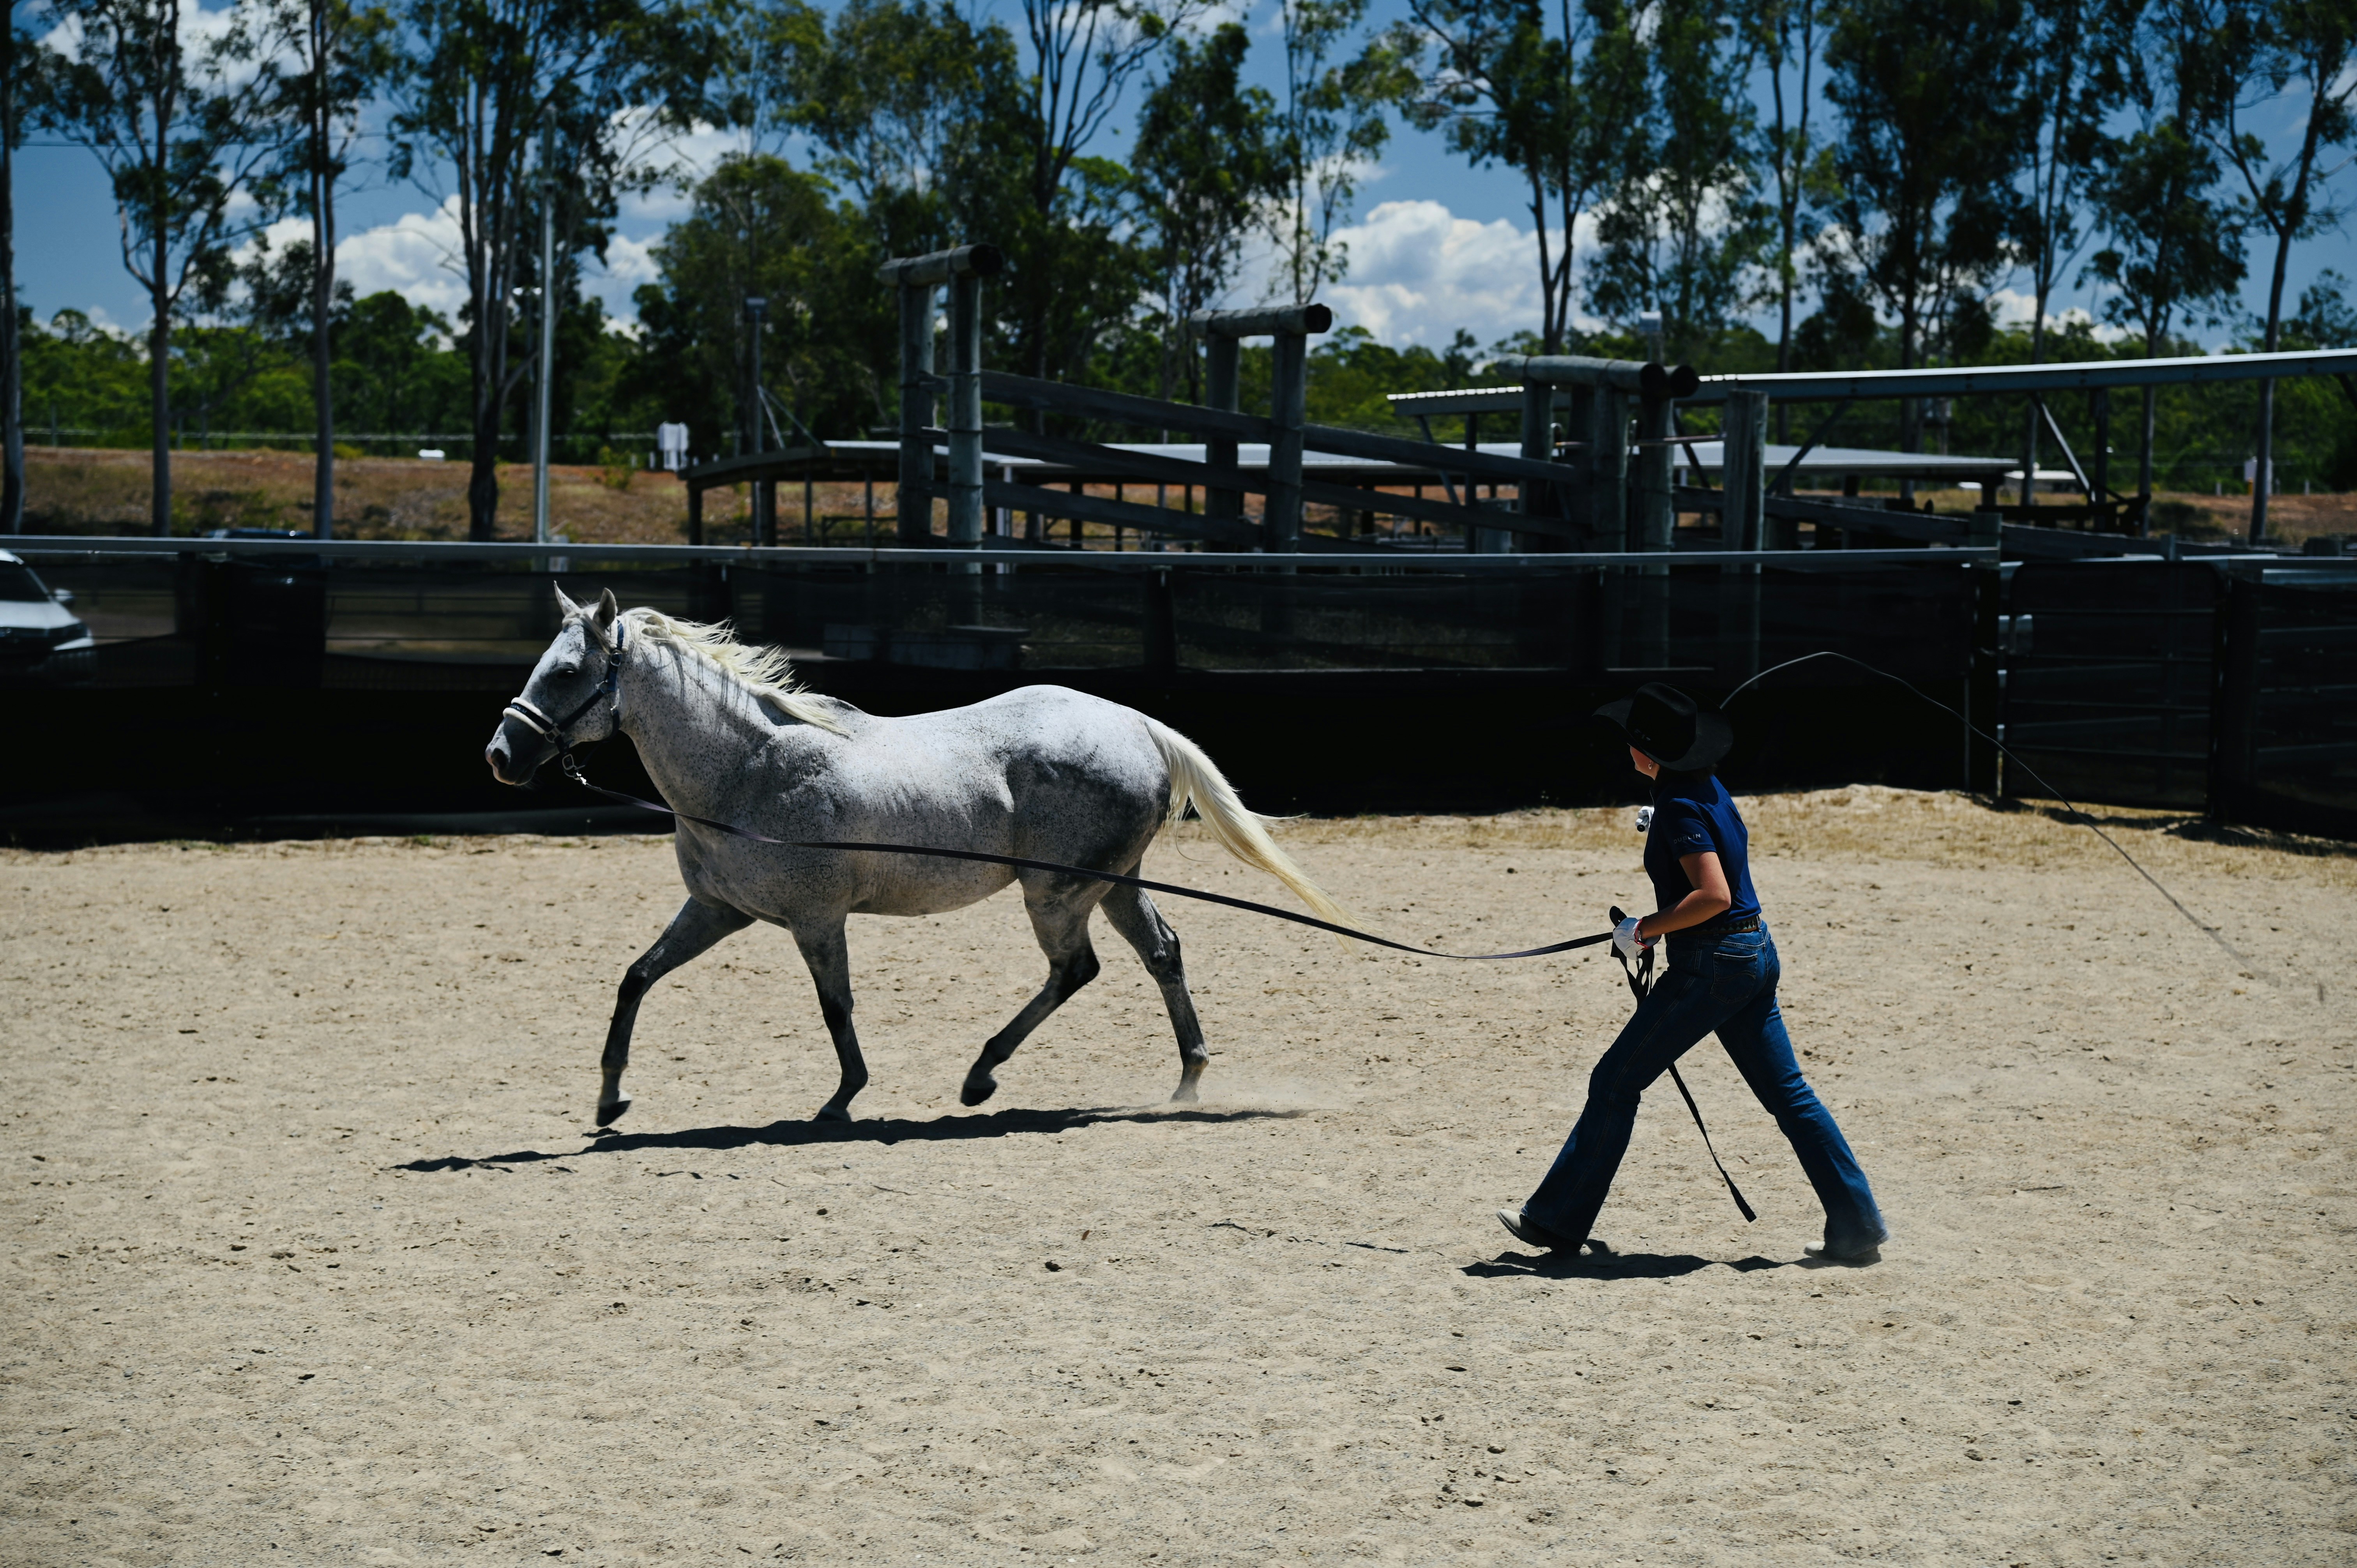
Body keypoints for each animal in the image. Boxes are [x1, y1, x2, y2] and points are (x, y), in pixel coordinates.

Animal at [485, 586, 1347, 1126]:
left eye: (567, 670)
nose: (500, 754)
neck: (749, 769)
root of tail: (1136, 723)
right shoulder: (718, 910)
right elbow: (636, 978)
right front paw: (609, 1100)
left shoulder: (815, 918)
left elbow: (836, 1006)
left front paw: (842, 1098)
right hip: (1112, 883)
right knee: (1161, 952)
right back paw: (1187, 1077)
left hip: (1056, 893)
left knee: (1076, 969)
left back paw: (981, 1075)